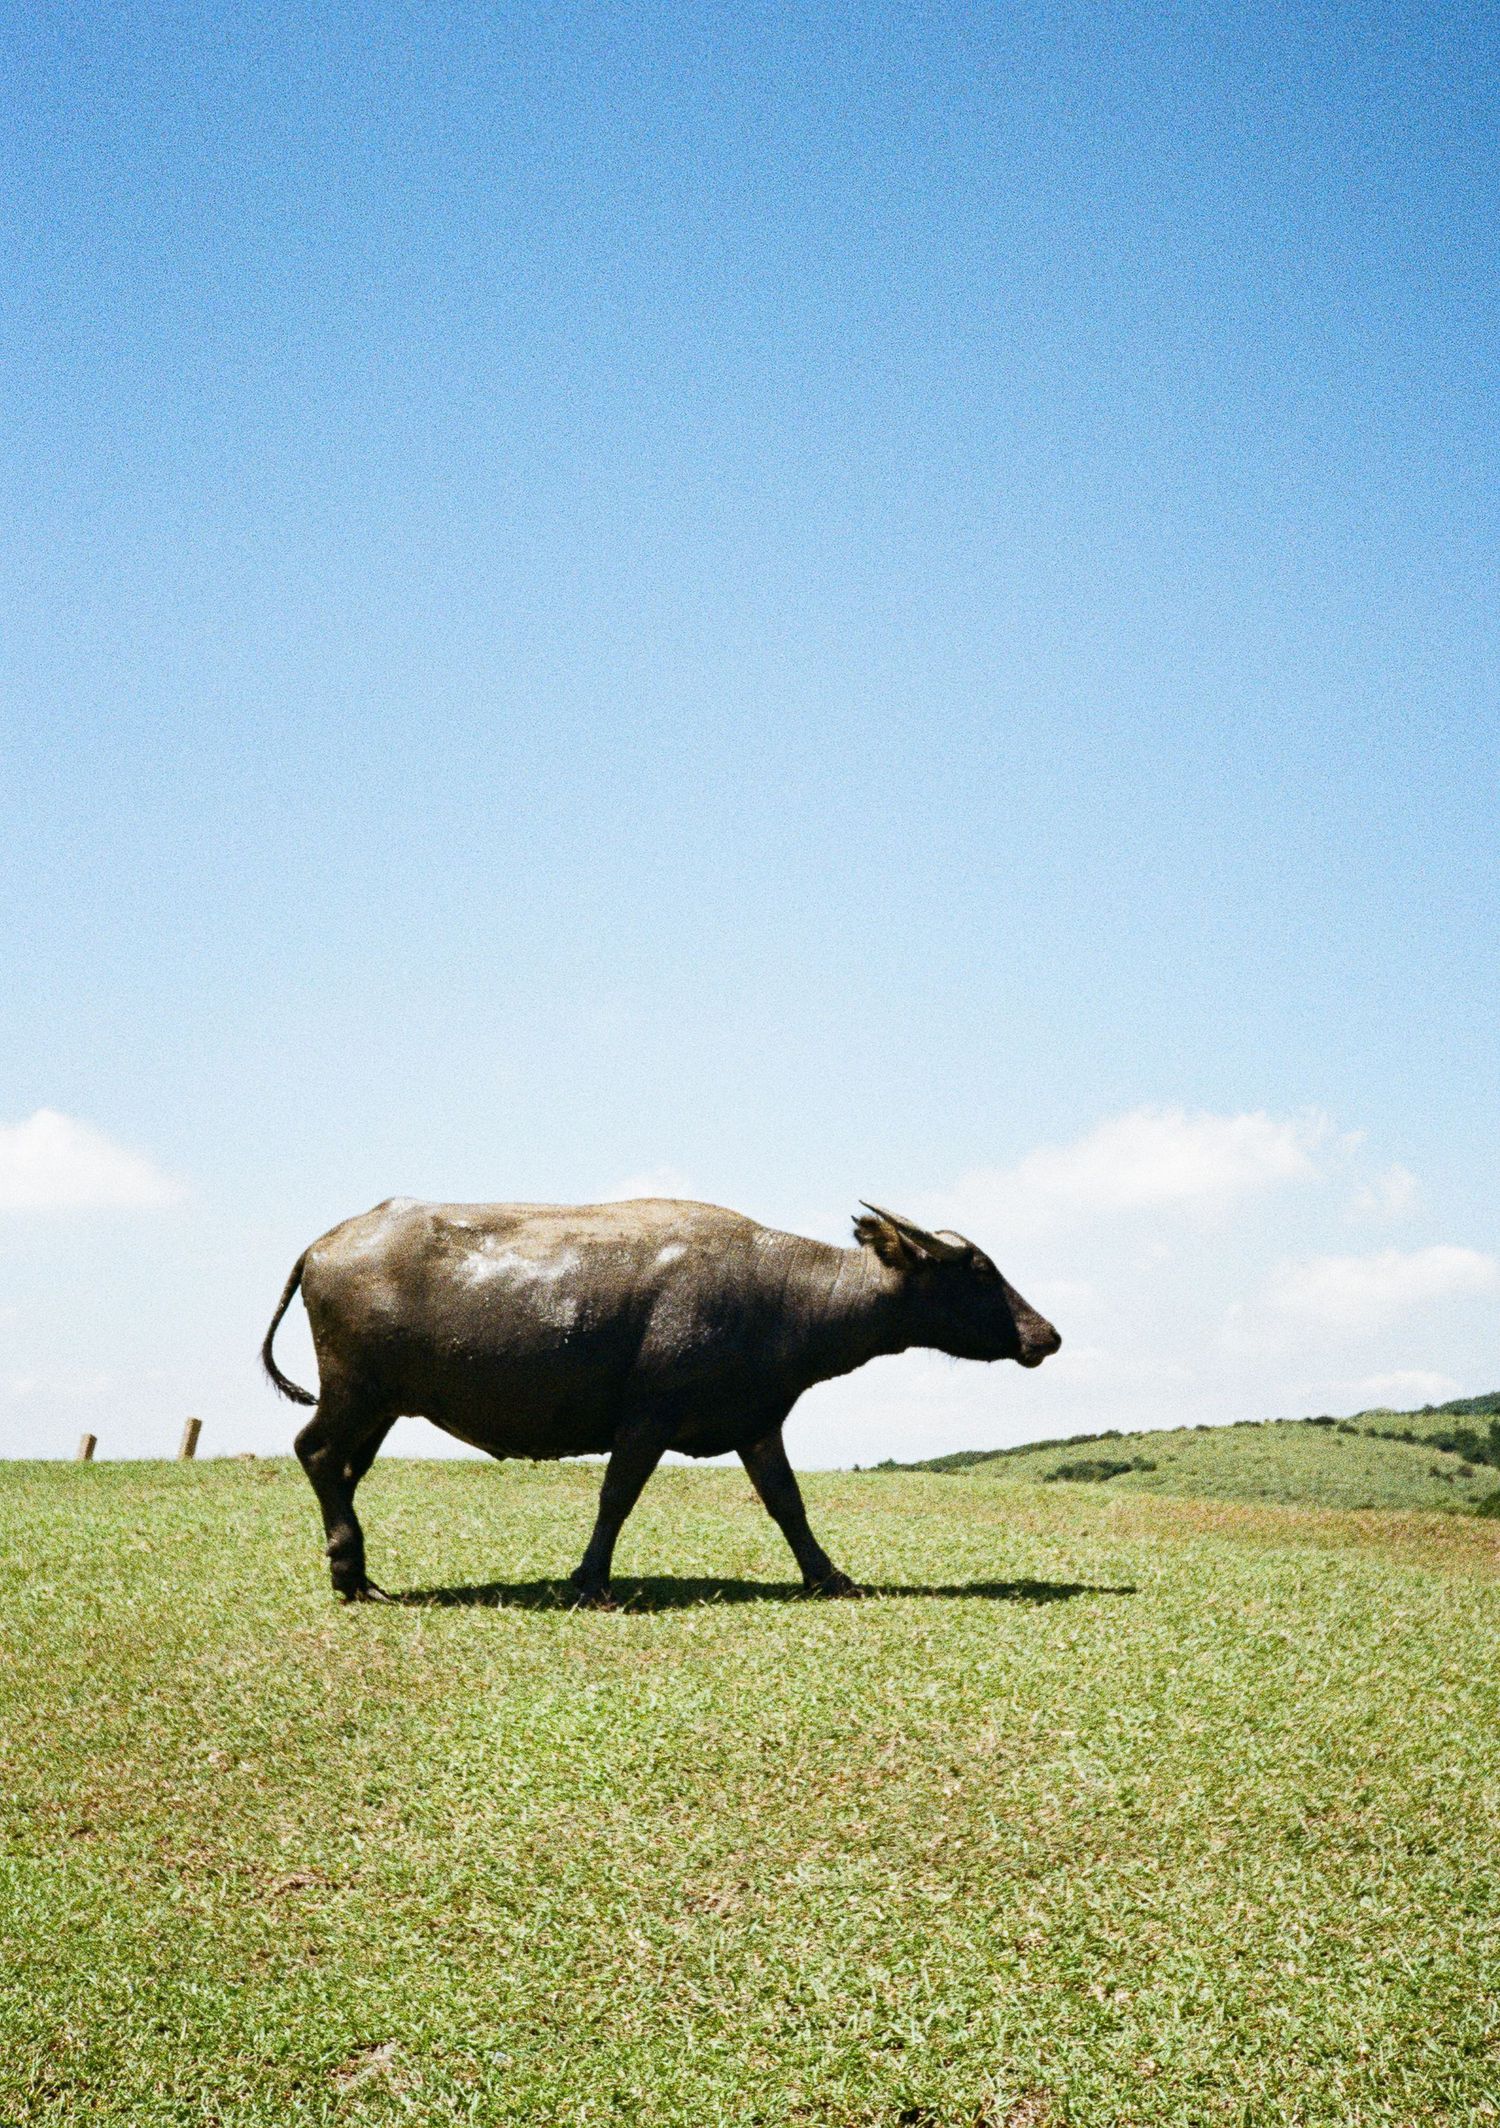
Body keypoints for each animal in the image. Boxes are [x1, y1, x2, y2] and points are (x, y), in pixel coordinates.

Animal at [261, 1195, 1060, 1605]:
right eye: (980, 1270)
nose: (1046, 1335)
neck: (781, 1295)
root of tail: (324, 1243)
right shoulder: (647, 1420)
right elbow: (616, 1496)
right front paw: (589, 1581)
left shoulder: (757, 1423)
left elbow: (787, 1503)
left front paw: (829, 1576)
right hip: (354, 1392)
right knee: (315, 1451)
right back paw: (349, 1574)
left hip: (383, 1404)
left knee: (343, 1468)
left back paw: (358, 1572)